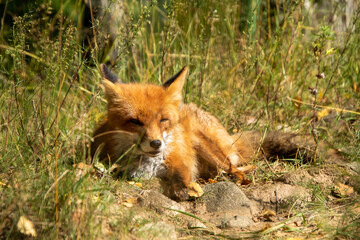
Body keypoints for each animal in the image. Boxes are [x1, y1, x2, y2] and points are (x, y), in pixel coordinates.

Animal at [90, 64, 340, 201]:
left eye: (163, 120)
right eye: (135, 122)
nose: (156, 144)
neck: (149, 164)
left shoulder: (182, 159)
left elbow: (182, 175)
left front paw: (185, 188)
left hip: (205, 144)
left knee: (237, 169)